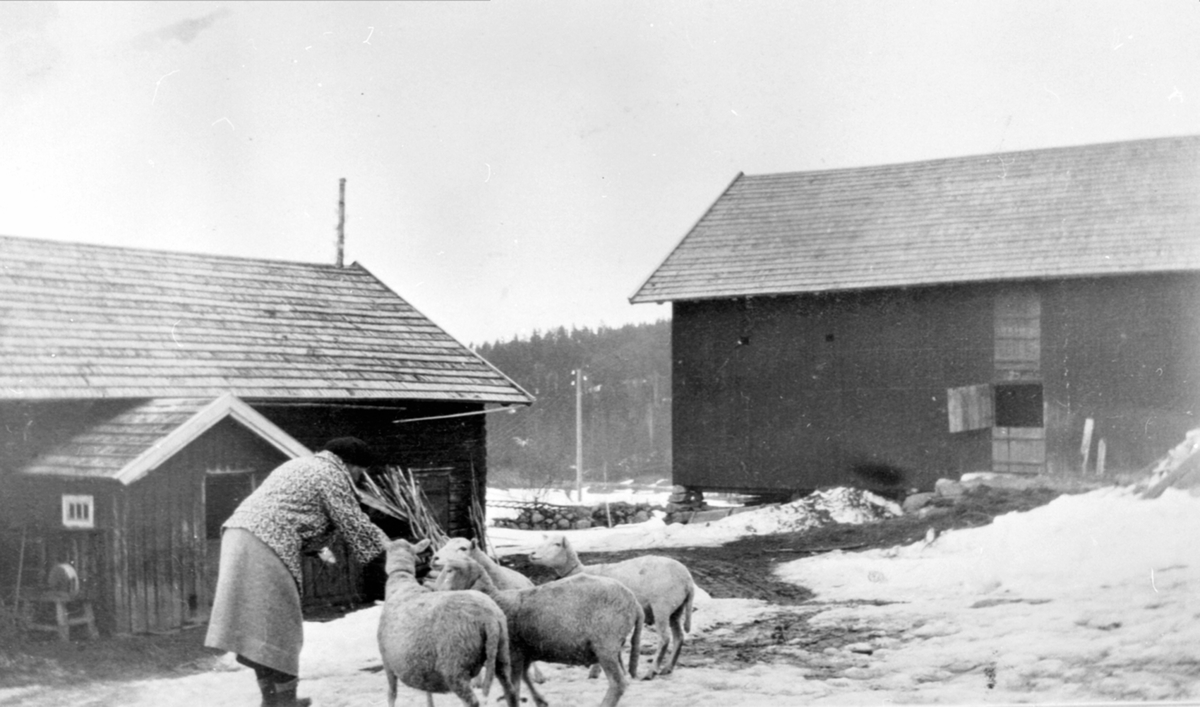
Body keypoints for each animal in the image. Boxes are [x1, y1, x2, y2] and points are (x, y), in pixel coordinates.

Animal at [379, 537, 520, 700]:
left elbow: (391, 694)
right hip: (501, 653)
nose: (434, 558)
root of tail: (489, 619)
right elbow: (427, 694)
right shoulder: (420, 661)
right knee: (510, 689)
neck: (402, 583)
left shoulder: (387, 661)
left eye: (463, 548)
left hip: (454, 666)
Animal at [436, 556, 643, 705]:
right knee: (623, 681)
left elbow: (514, 688)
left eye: (450, 570)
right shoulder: (524, 653)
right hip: (614, 647)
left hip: (605, 643)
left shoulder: (514, 653)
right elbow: (525, 678)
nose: (435, 590)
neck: (497, 600)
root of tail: (635, 602)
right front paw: (540, 700)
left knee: (618, 683)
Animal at [532, 532, 696, 676]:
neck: (581, 572)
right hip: (676, 608)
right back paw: (668, 668)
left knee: (665, 638)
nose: (532, 554)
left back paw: (651, 671)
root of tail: (688, 579)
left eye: (557, 544)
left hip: (662, 605)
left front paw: (594, 672)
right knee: (679, 637)